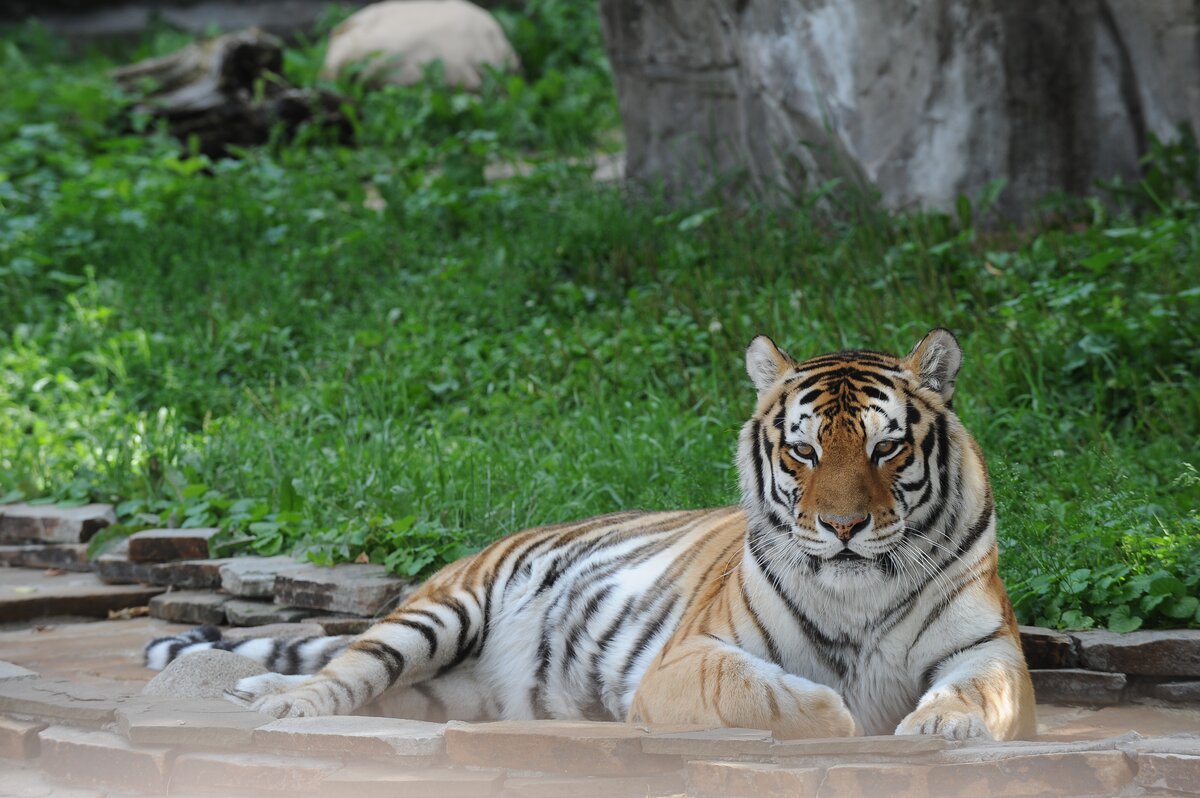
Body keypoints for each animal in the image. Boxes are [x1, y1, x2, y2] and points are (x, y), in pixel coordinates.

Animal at [145, 326, 1036, 739]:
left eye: (887, 448)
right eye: (804, 450)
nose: (843, 526)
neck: (857, 592)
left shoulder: (989, 653)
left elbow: (976, 692)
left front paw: (939, 722)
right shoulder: (688, 660)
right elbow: (759, 688)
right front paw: (836, 712)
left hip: (447, 689)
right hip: (438, 615)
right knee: (348, 668)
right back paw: (284, 700)